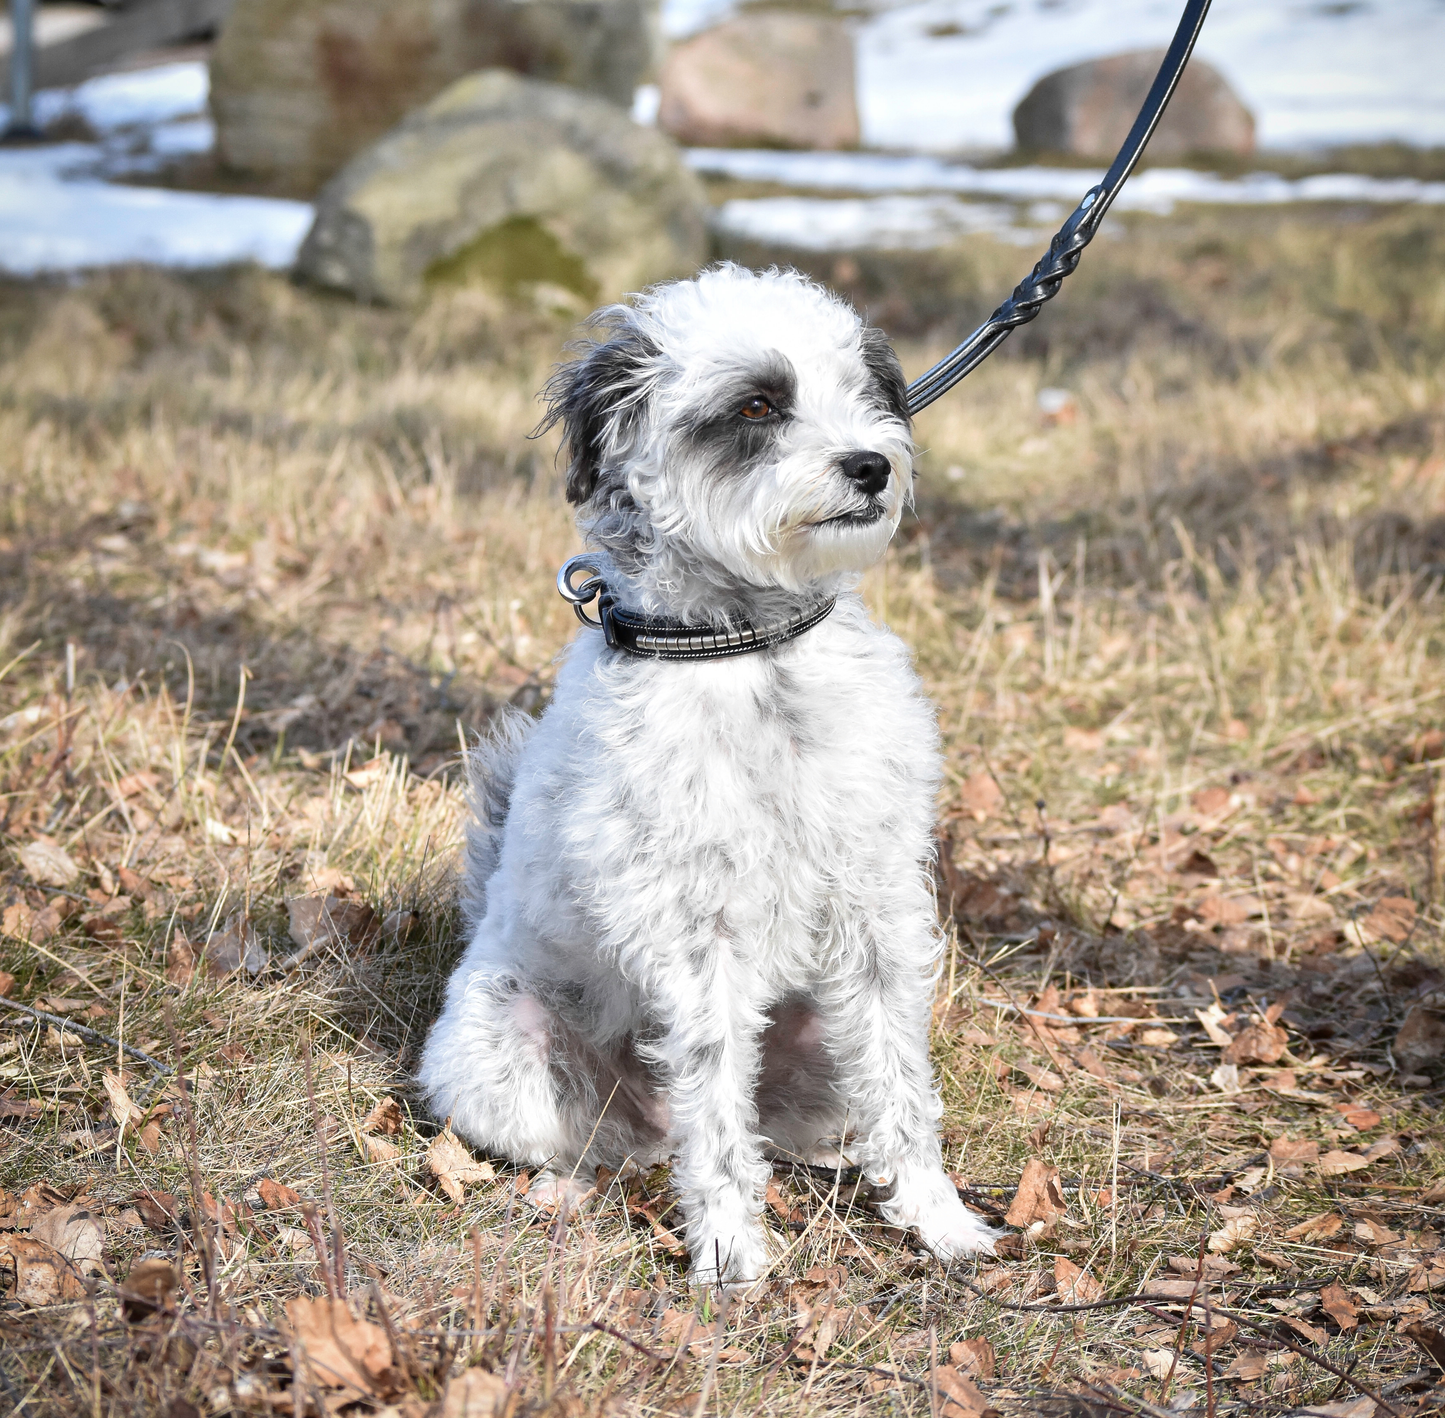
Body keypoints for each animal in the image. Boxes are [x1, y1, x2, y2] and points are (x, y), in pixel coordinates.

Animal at [421, 263, 999, 1283]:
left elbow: (903, 1091)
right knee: (613, 1147)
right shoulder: (697, 943)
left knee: (787, 1124)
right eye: (758, 404)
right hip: (501, 1057)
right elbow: (715, 1122)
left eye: (864, 393)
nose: (872, 466)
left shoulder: (877, 913)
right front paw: (730, 1250)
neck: (750, 651)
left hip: (816, 1040)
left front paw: (937, 1220)